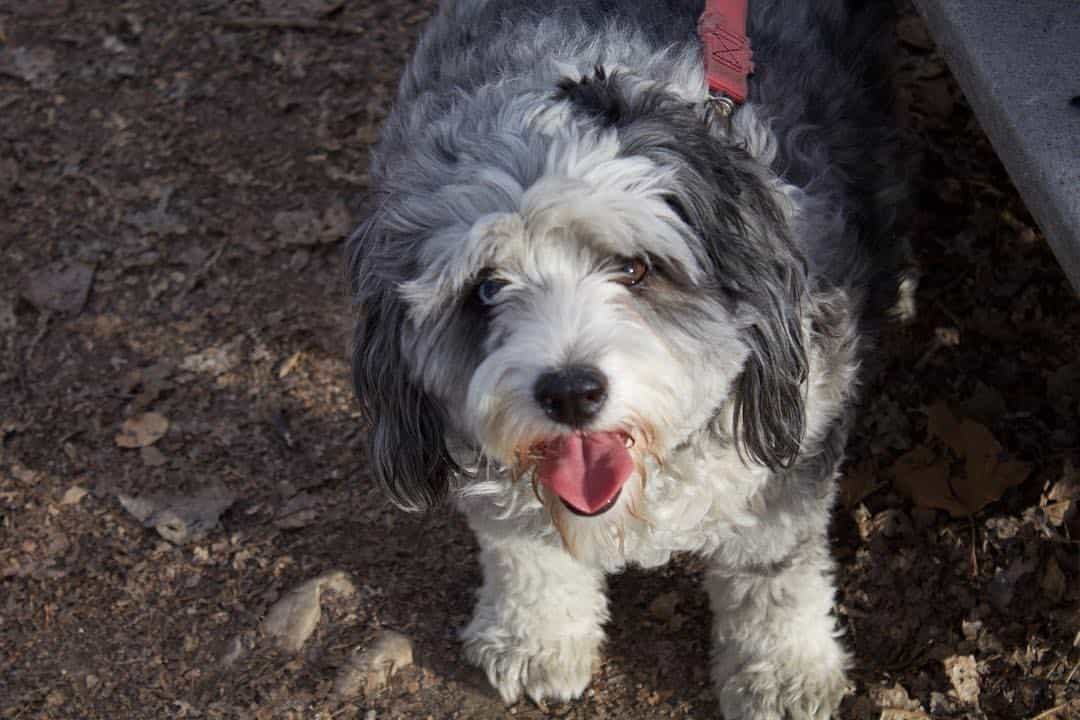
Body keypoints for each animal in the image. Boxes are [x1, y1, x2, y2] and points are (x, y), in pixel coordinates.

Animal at [345, 2, 902, 716]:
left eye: (635, 268)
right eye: (487, 288)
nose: (570, 393)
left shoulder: (792, 444)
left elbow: (774, 569)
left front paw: (782, 672)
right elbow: (523, 545)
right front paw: (536, 637)